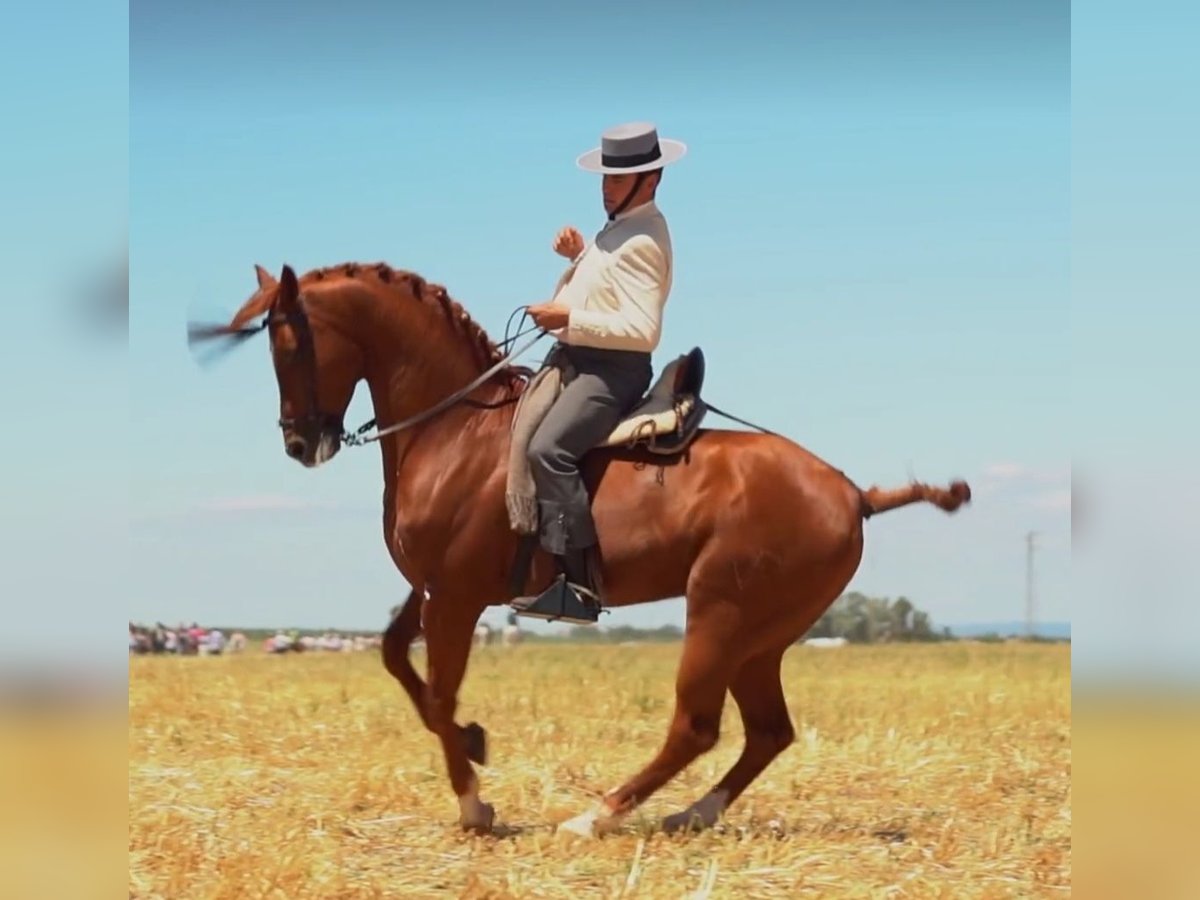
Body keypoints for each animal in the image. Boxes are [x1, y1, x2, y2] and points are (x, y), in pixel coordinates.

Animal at [201, 260, 969, 840]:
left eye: (288, 342)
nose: (300, 443)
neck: (455, 432)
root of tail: (853, 493)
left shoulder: (455, 598)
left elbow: (441, 694)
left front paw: (474, 802)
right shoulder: (433, 591)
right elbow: (398, 661)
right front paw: (475, 745)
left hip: (720, 616)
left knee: (696, 727)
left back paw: (596, 816)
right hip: (763, 639)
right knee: (767, 733)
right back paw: (691, 815)